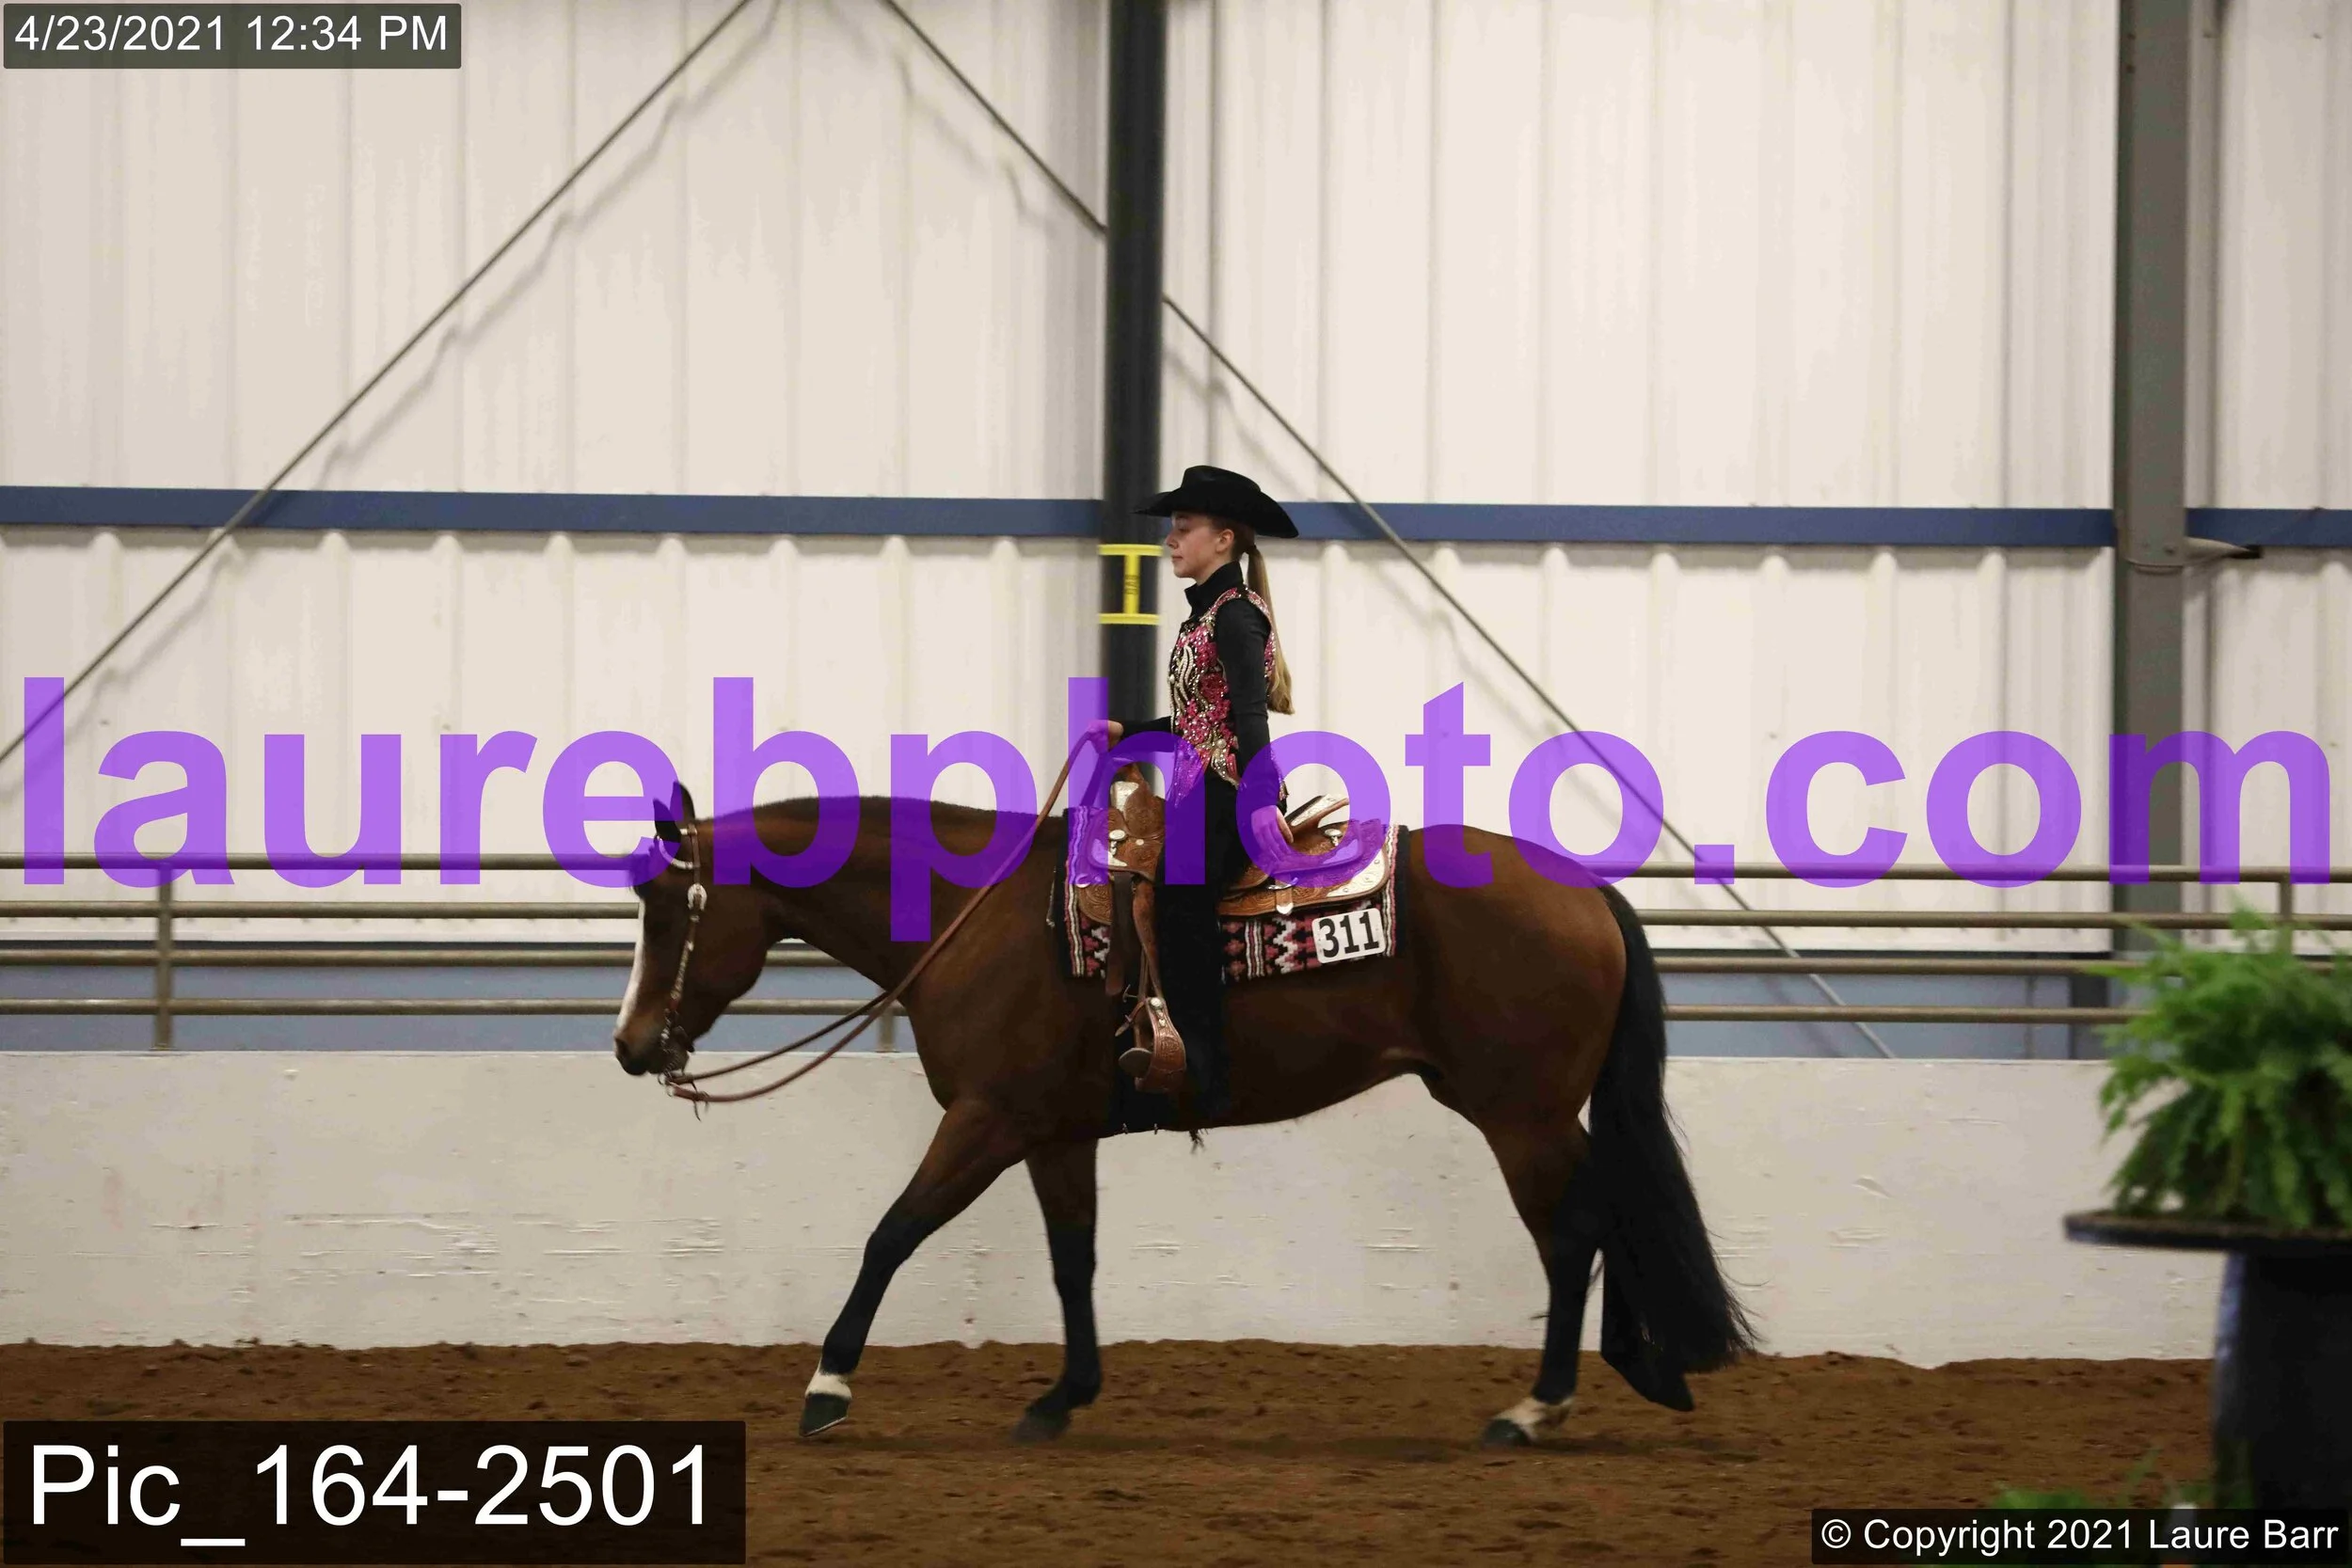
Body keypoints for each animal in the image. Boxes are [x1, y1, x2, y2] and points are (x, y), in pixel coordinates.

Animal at [611, 787, 1754, 1447]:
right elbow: (1074, 1259)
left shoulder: (987, 1119)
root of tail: (1587, 893)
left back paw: (1536, 1406)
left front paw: (827, 1384)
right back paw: (1642, 1371)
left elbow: (891, 1232)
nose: (629, 1044)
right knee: (1605, 1216)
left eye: (666, 909)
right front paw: (1061, 1397)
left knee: (1574, 1232)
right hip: (1535, 1112)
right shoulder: (1054, 1133)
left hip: (1521, 1114)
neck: (974, 914)